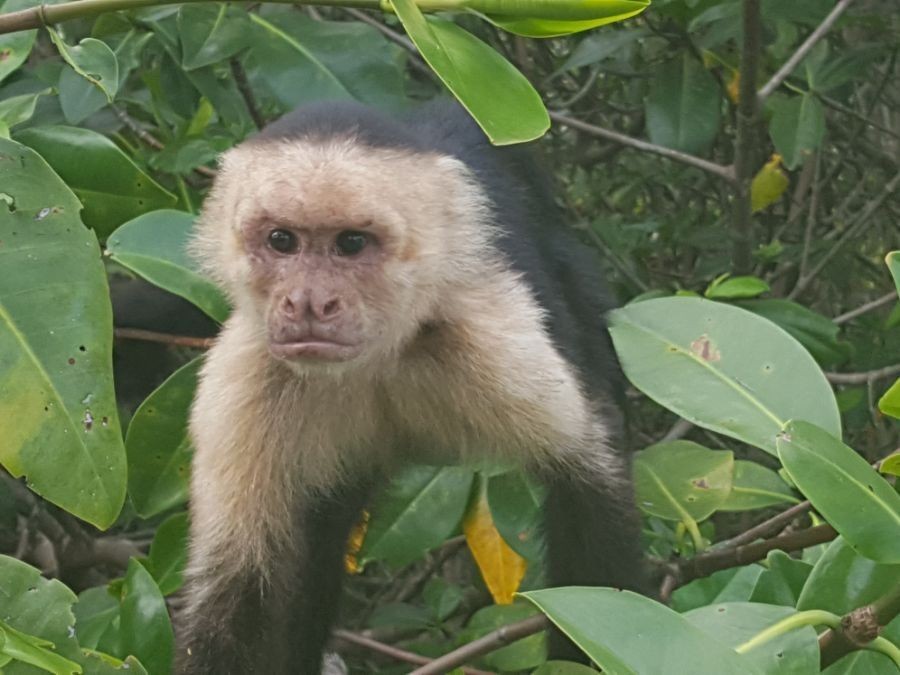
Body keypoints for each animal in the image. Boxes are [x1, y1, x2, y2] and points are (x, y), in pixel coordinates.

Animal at [176, 100, 644, 675]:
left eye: (352, 243)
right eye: (281, 240)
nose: (308, 302)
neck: (379, 356)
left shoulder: (494, 342)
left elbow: (588, 484)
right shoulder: (246, 377)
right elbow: (237, 587)